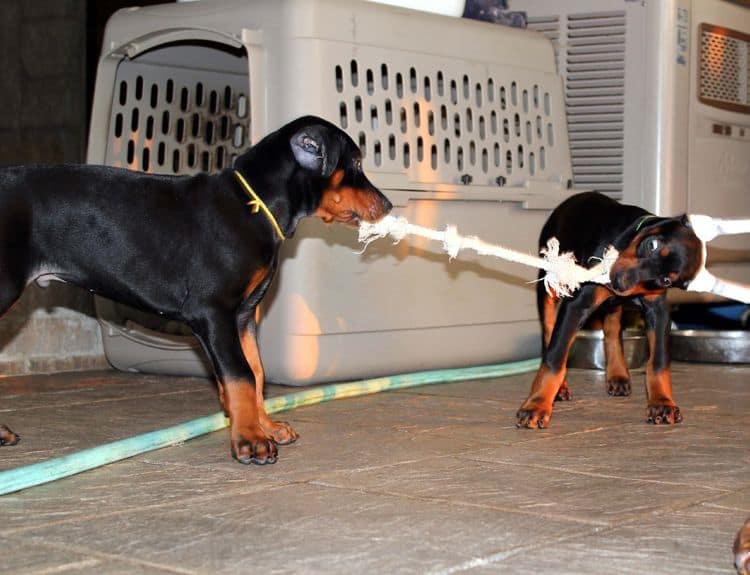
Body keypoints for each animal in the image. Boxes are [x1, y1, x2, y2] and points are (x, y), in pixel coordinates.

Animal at [0, 115, 396, 466]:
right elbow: (239, 375)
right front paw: (250, 441)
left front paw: (265, 427)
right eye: (355, 163)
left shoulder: (242, 316)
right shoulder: (214, 312)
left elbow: (256, 373)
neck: (253, 204)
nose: (388, 204)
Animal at [516, 191, 704, 430]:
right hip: (551, 283)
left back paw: (618, 374)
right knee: (549, 332)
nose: (618, 282)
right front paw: (537, 405)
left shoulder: (659, 311)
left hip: (613, 304)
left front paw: (662, 403)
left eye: (666, 280)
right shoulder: (577, 305)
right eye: (652, 245)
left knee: (612, 329)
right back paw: (561, 387)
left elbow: (658, 362)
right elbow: (555, 357)